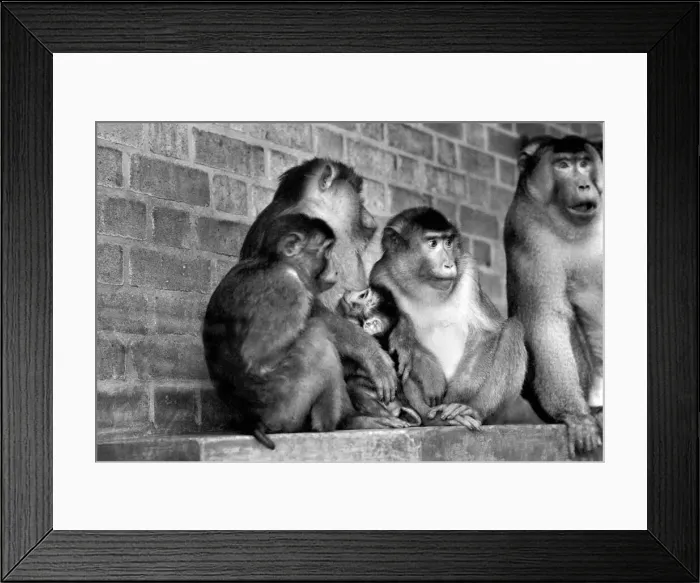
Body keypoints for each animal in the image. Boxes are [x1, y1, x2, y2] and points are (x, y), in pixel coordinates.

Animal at [203, 214, 380, 449]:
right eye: (326, 251)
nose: (335, 269)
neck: (277, 261)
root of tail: (251, 421)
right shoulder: (287, 287)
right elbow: (258, 354)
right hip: (283, 409)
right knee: (316, 337)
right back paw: (344, 421)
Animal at [370, 207, 528, 431]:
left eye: (448, 243)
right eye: (432, 244)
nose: (449, 264)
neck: (422, 285)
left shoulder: (469, 268)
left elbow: (486, 332)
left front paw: (456, 399)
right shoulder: (380, 275)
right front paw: (430, 375)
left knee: (513, 329)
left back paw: (470, 411)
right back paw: (432, 418)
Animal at [503, 134, 604, 457]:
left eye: (583, 163)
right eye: (562, 166)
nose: (583, 185)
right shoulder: (529, 231)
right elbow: (547, 318)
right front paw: (576, 416)